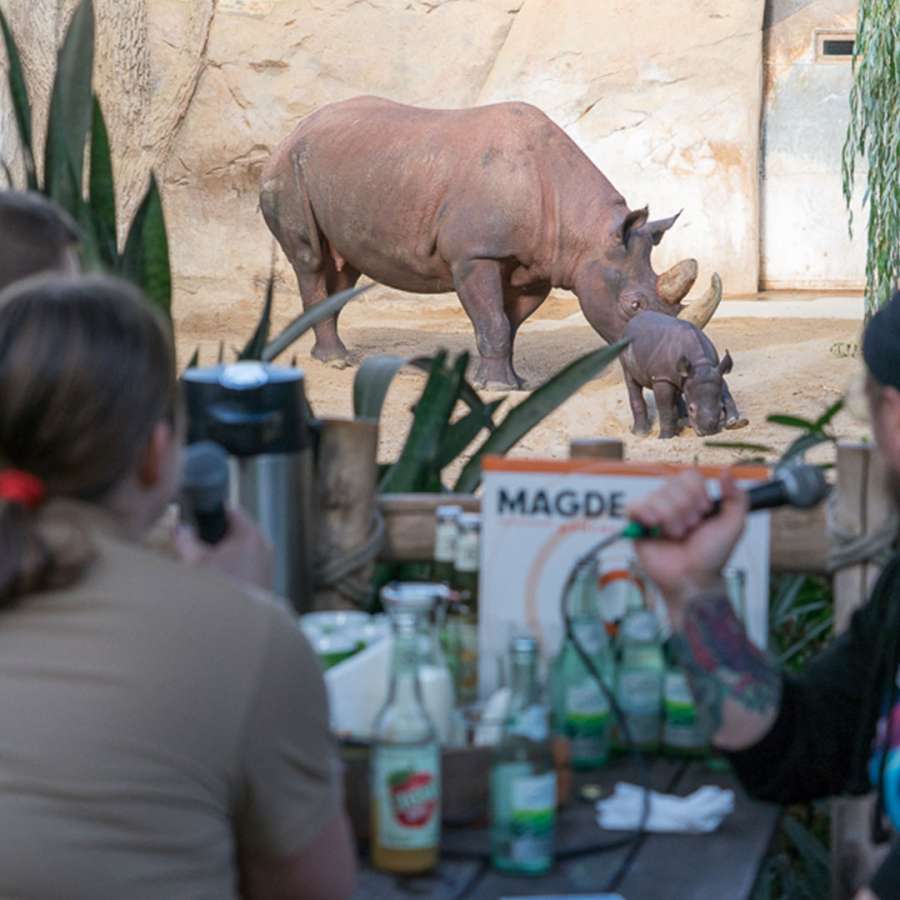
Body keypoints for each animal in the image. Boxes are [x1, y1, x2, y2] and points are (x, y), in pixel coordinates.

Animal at [620, 312, 744, 442]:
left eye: (721, 407)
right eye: (691, 409)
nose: (708, 432)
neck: (701, 363)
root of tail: (632, 320)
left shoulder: (716, 370)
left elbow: (726, 392)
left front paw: (736, 423)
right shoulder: (661, 378)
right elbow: (665, 408)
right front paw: (665, 438)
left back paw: (682, 420)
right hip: (625, 349)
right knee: (631, 381)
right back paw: (641, 434)